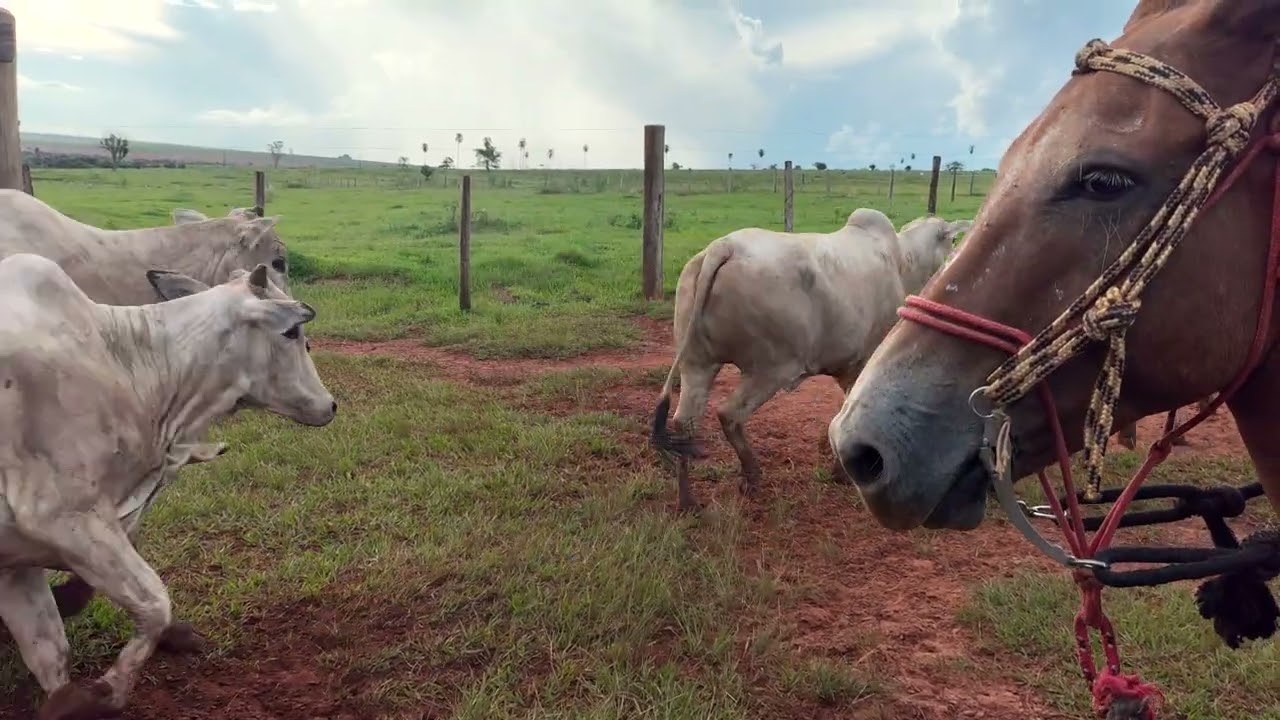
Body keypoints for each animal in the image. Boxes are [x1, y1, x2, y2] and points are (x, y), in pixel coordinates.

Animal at [0, 253, 336, 720]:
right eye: (291, 332)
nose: (330, 405)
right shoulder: (63, 515)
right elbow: (155, 603)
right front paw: (106, 692)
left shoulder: (17, 560)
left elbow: (49, 650)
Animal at [650, 209, 971, 511]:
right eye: (953, 241)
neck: (903, 261)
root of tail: (724, 246)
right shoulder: (865, 362)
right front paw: (843, 472)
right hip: (772, 368)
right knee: (729, 414)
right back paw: (751, 477)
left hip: (697, 363)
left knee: (684, 423)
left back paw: (688, 501)